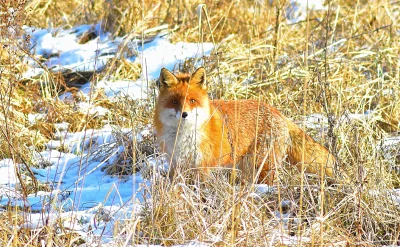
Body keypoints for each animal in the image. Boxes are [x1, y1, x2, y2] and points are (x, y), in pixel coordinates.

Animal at [153, 67, 334, 183]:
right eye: (174, 101)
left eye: (192, 100)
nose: (184, 114)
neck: (183, 136)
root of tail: (278, 112)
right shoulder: (176, 163)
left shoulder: (203, 166)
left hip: (260, 165)